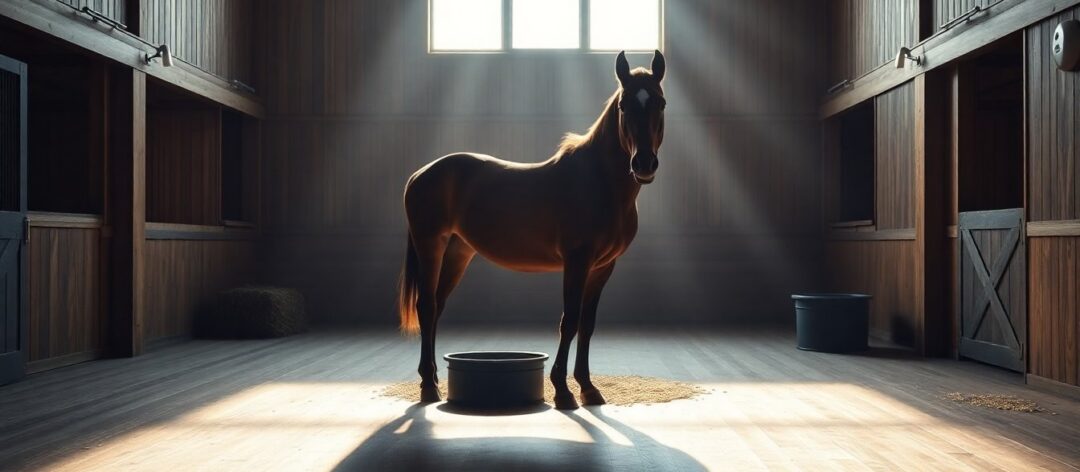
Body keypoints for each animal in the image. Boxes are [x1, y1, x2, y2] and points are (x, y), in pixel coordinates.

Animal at [397, 51, 667, 410]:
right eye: (624, 106)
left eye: (660, 103)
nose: (644, 165)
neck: (598, 181)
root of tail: (420, 174)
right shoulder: (577, 261)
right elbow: (569, 321)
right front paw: (563, 391)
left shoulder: (603, 267)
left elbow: (587, 325)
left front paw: (588, 387)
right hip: (431, 245)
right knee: (426, 307)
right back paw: (428, 386)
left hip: (457, 252)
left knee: (437, 306)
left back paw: (433, 379)